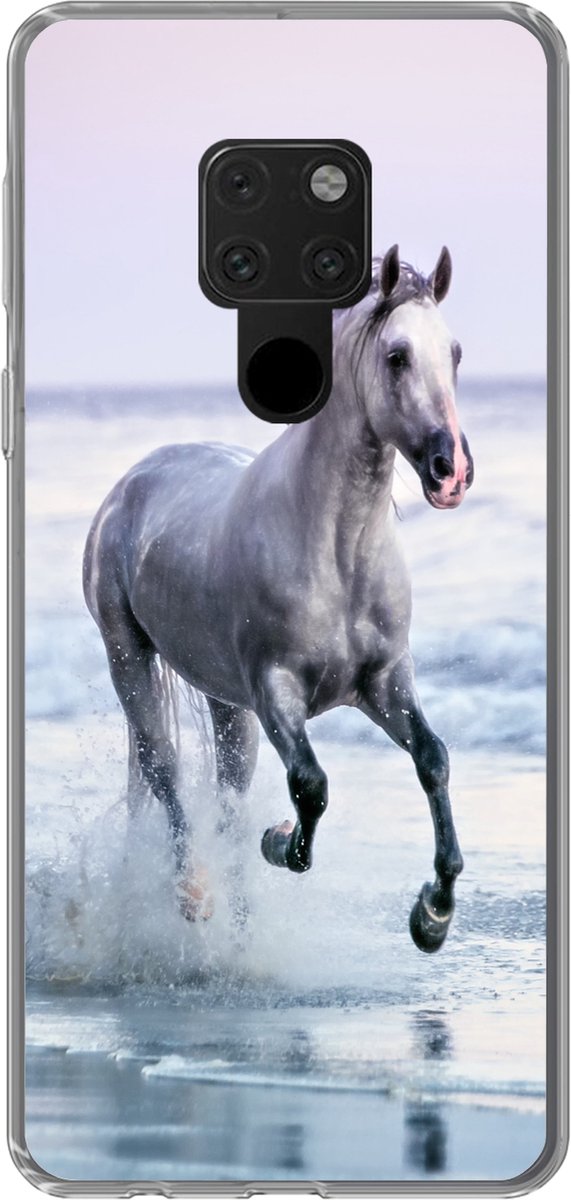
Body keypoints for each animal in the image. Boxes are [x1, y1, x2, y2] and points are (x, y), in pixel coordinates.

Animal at [83, 244, 473, 953]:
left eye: (453, 352)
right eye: (396, 356)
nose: (450, 471)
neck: (336, 551)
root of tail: (131, 484)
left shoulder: (384, 682)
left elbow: (433, 759)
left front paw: (432, 916)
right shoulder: (276, 692)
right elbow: (310, 787)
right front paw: (281, 841)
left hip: (223, 701)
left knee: (227, 797)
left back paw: (240, 936)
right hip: (130, 660)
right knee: (164, 772)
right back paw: (193, 893)